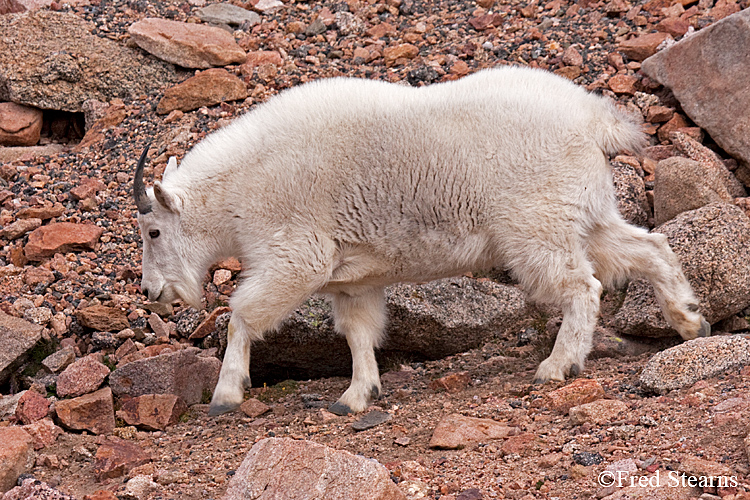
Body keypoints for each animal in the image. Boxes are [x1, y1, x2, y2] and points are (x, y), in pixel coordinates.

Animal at [135, 67, 712, 418]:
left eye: (154, 231)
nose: (151, 292)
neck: (240, 187)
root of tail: (595, 120)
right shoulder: (352, 279)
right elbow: (358, 333)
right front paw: (356, 396)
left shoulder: (295, 260)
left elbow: (242, 315)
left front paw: (225, 394)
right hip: (585, 213)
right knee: (650, 248)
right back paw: (690, 322)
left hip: (537, 227)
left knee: (581, 287)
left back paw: (558, 365)